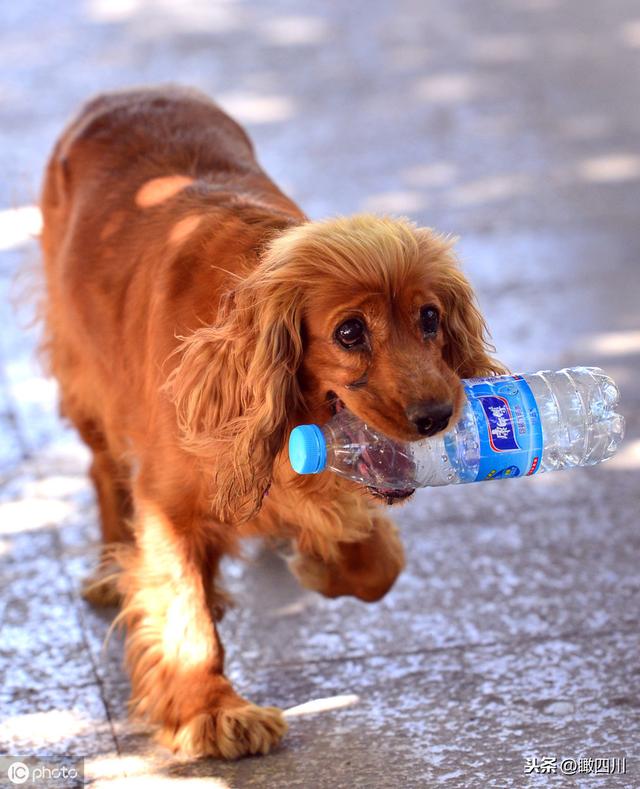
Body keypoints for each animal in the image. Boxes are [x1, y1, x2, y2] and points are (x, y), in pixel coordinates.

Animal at [40, 86, 504, 756]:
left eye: (430, 317)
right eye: (349, 332)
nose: (438, 415)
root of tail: (121, 94)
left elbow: (378, 567)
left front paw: (321, 560)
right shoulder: (167, 502)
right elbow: (183, 611)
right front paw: (211, 712)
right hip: (85, 375)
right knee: (105, 471)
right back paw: (111, 566)